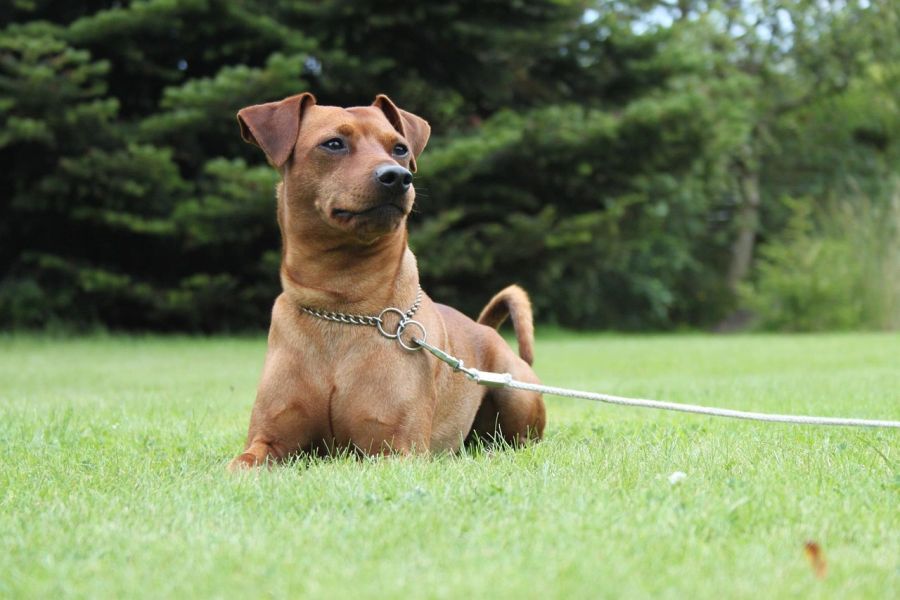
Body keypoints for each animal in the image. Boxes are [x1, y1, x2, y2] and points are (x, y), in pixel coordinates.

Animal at [229, 94, 544, 468]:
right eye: (333, 144)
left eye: (399, 148)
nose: (397, 176)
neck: (342, 302)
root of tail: (484, 329)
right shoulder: (267, 441)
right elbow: (241, 463)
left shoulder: (397, 450)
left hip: (514, 391)